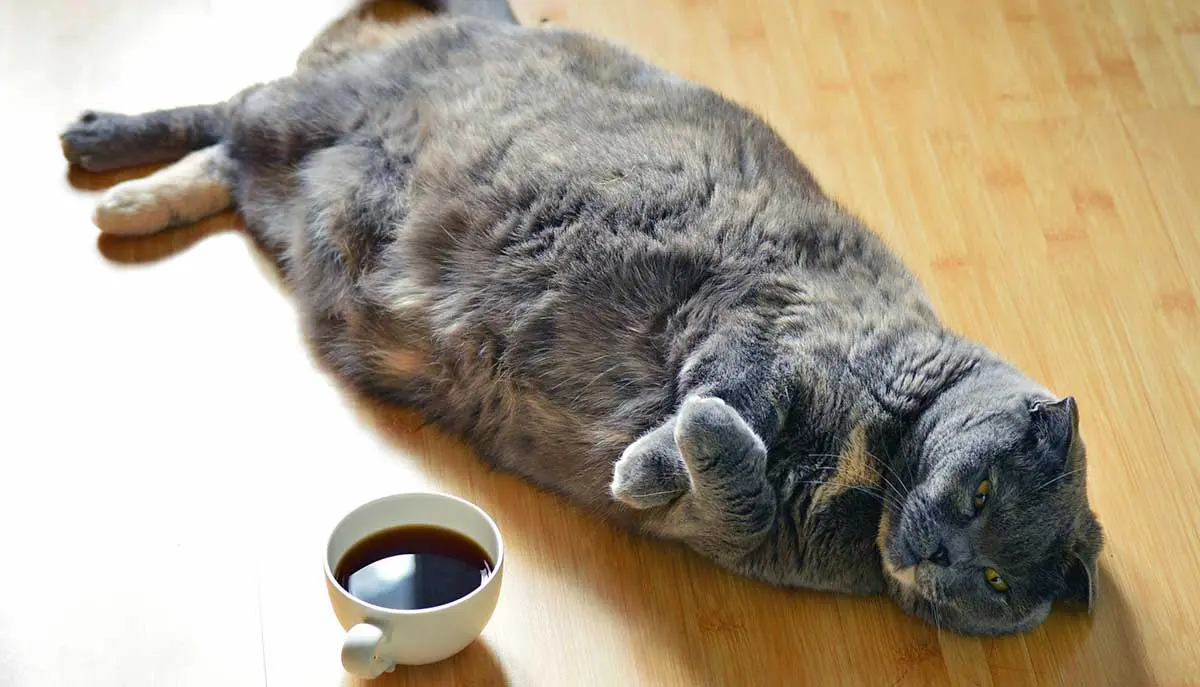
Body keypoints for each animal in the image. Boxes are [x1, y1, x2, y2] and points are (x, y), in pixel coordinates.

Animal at [60, 0, 1099, 634]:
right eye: (979, 493)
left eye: (999, 580)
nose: (945, 553)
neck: (866, 475)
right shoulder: (764, 318)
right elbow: (737, 399)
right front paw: (660, 453)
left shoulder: (733, 535)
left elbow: (739, 490)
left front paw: (667, 460)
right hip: (321, 107)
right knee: (231, 108)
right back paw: (101, 146)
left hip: (300, 193)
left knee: (233, 162)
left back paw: (135, 203)